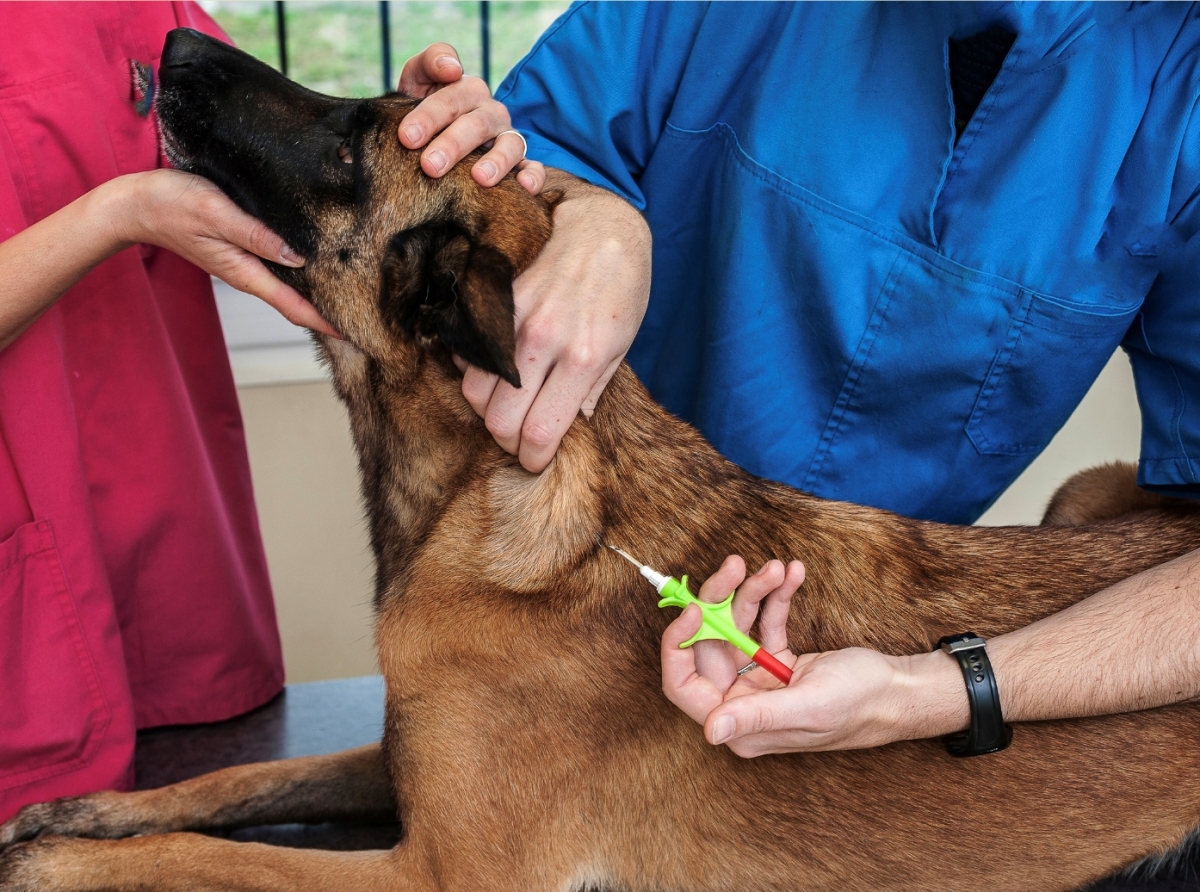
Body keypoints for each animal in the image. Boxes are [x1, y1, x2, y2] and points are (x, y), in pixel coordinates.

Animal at [2, 27, 1200, 892]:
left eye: (351, 142)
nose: (174, 43)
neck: (492, 496)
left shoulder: (433, 874)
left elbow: (211, 856)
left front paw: (61, 863)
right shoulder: (399, 762)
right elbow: (247, 775)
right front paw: (86, 810)